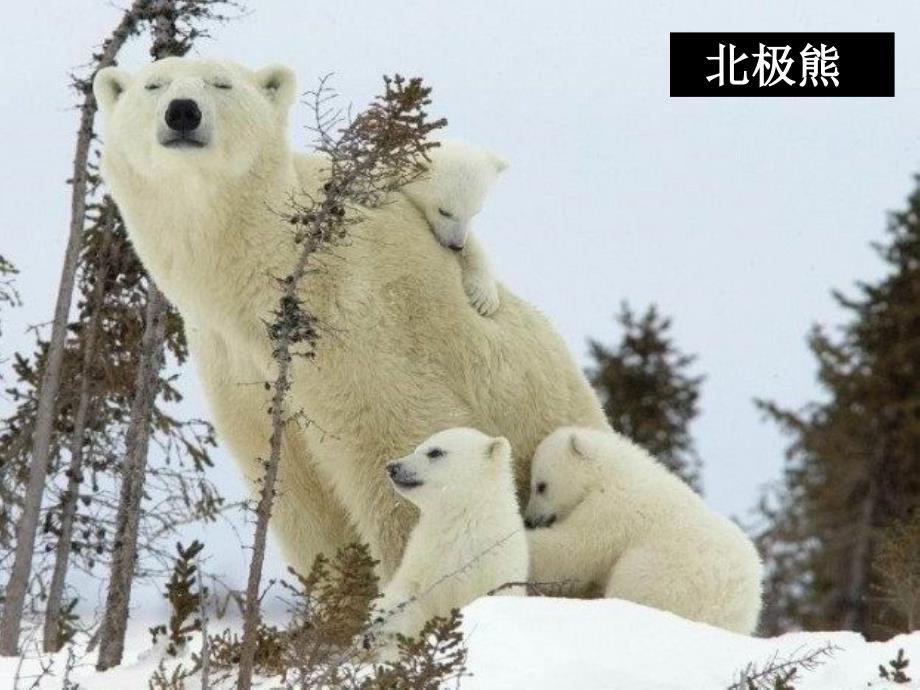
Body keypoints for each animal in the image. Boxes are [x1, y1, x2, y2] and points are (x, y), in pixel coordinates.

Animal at [374, 428, 528, 644]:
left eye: (435, 452)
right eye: (416, 448)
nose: (392, 467)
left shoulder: (496, 564)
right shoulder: (423, 558)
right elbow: (408, 595)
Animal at [524, 428, 760, 632]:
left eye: (541, 486)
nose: (529, 519)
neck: (612, 471)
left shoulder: (613, 509)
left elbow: (574, 550)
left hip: (665, 577)